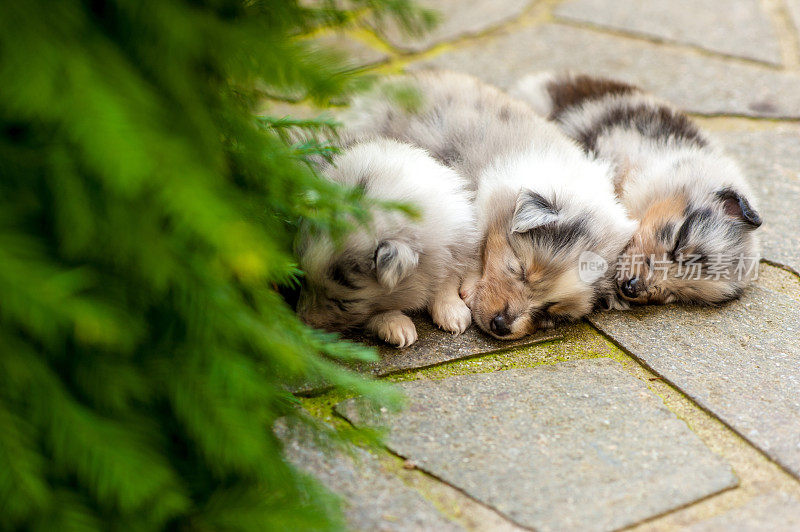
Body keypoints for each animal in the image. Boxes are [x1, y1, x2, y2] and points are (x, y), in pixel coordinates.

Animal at [296, 136, 478, 350]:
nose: (303, 323)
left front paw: (452, 313)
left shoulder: (457, 244)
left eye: (342, 302)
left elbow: (447, 279)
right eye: (304, 281)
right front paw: (397, 326)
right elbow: (377, 311)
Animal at [340, 70, 636, 338]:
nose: (501, 326)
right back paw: (394, 325)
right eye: (520, 269)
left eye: (552, 312)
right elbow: (453, 262)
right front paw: (454, 308)